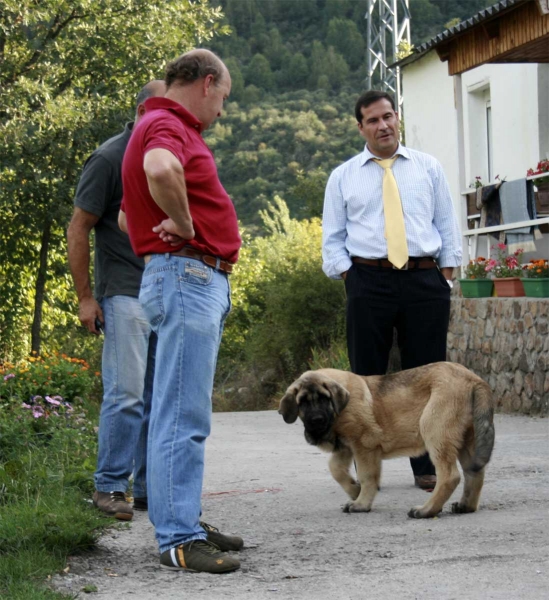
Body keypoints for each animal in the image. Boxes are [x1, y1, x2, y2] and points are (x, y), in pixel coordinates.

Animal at [276, 364, 494, 516]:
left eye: (324, 399)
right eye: (303, 402)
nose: (317, 420)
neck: (340, 409)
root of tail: (473, 379)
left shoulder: (364, 446)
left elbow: (366, 476)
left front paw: (361, 504)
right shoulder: (345, 448)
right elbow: (336, 470)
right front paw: (354, 490)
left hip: (435, 429)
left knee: (450, 476)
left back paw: (426, 510)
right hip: (467, 439)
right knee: (475, 472)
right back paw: (465, 506)